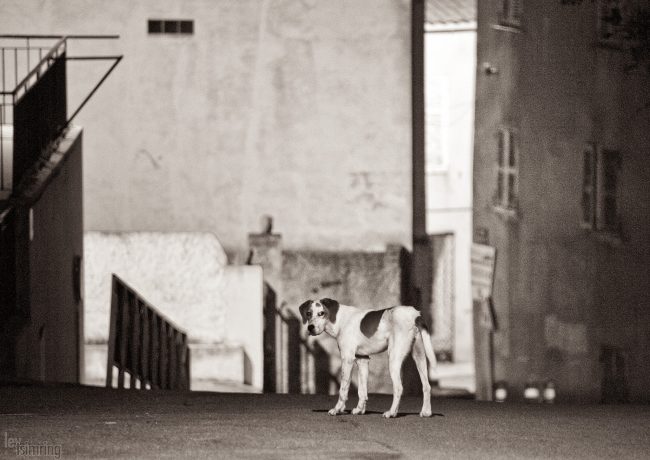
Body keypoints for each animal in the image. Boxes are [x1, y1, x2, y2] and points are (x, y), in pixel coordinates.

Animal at [298, 296, 436, 418]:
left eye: (321, 313)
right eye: (308, 313)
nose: (310, 327)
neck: (339, 319)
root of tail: (415, 314)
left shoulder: (347, 359)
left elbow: (343, 389)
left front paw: (337, 409)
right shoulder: (362, 360)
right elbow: (362, 391)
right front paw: (360, 410)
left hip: (393, 358)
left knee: (398, 388)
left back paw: (392, 413)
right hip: (419, 356)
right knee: (426, 386)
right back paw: (426, 412)